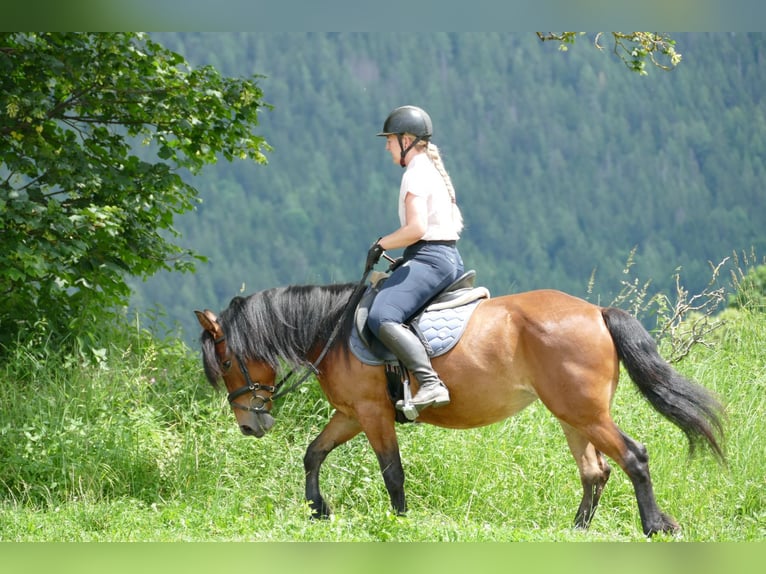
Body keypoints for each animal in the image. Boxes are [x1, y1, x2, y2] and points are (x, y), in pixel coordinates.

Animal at [196, 280, 728, 540]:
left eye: (226, 361)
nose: (248, 424)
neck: (336, 328)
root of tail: (596, 312)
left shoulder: (372, 412)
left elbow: (392, 472)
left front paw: (399, 523)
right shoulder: (350, 414)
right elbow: (313, 453)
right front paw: (318, 509)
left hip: (585, 412)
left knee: (633, 457)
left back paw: (655, 526)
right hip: (572, 414)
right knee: (595, 471)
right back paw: (577, 531)